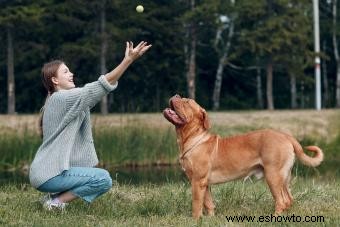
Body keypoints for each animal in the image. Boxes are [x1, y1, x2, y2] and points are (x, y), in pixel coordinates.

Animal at [163, 94, 322, 218]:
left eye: (186, 102)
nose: (176, 94)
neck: (193, 138)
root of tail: (286, 136)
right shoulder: (204, 184)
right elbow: (208, 203)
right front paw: (209, 218)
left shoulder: (197, 181)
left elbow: (196, 204)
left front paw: (195, 219)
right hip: (284, 177)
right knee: (288, 199)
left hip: (273, 176)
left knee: (281, 201)